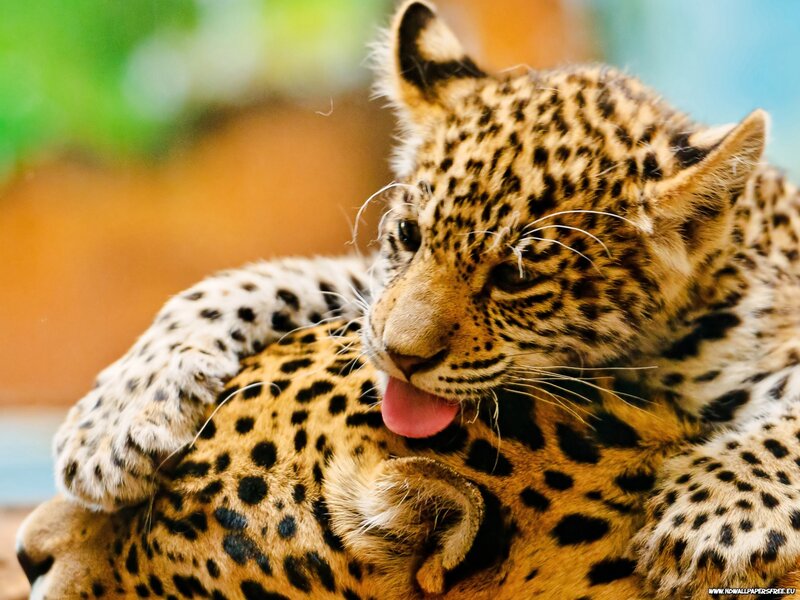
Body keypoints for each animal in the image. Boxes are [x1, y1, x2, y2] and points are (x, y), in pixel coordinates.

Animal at [28, 0, 800, 597]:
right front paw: (116, 419)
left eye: (517, 277)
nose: (399, 359)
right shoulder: (371, 289)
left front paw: (713, 518)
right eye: (408, 234)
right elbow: (262, 280)